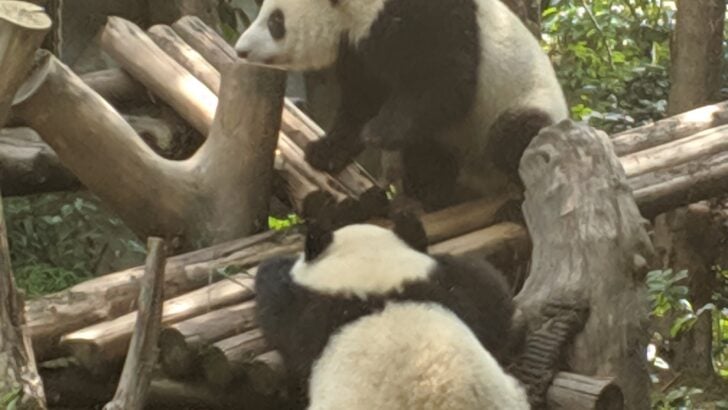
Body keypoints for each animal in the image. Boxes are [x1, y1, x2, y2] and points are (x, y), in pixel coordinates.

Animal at [234, 0, 568, 210]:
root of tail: (485, 185)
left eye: (276, 21)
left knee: (516, 135)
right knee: (429, 153)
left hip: (526, 105)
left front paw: (378, 132)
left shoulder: (431, 17)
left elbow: (445, 80)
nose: (241, 50)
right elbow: (362, 100)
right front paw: (323, 152)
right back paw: (432, 191)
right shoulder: (358, 49)